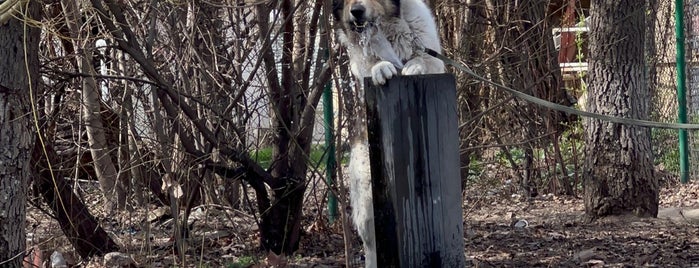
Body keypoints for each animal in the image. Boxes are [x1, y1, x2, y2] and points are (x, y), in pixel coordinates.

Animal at [332, 1, 442, 266]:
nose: (357, 11)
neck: (385, 27)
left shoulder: (434, 57)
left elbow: (424, 59)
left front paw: (414, 66)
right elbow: (373, 65)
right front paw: (382, 68)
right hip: (366, 196)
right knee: (371, 244)